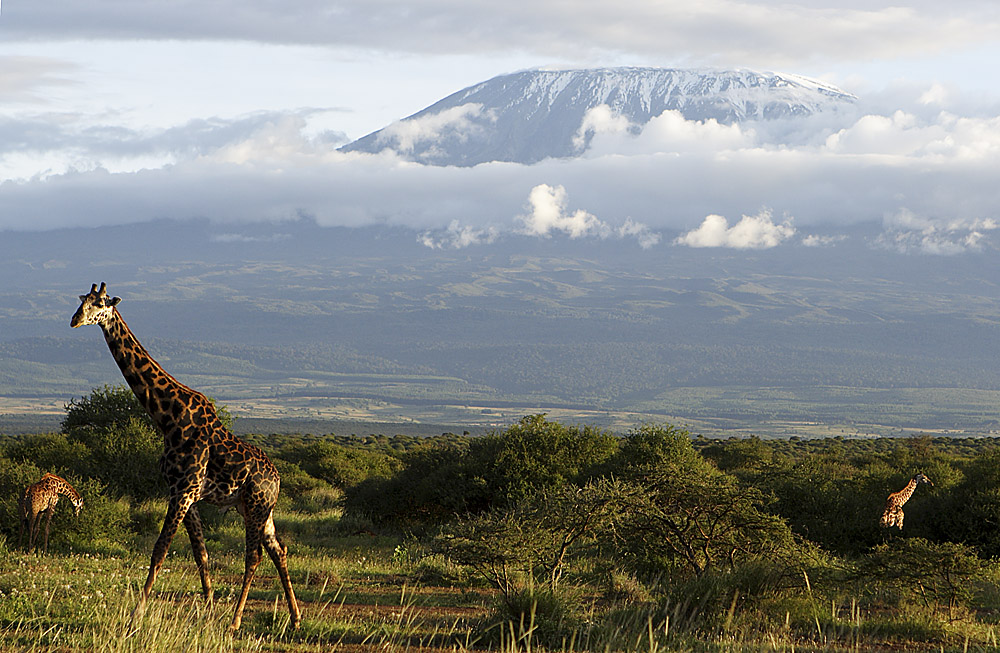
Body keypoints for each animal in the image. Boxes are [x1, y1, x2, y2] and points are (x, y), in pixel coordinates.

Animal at [71, 282, 300, 628]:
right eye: (81, 301)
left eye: (99, 304)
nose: (74, 320)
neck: (167, 416)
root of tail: (278, 479)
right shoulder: (183, 493)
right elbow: (200, 554)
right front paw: (208, 609)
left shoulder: (183, 492)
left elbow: (159, 550)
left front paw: (136, 615)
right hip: (258, 509)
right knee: (279, 550)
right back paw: (295, 617)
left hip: (257, 505)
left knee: (254, 556)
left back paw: (236, 621)